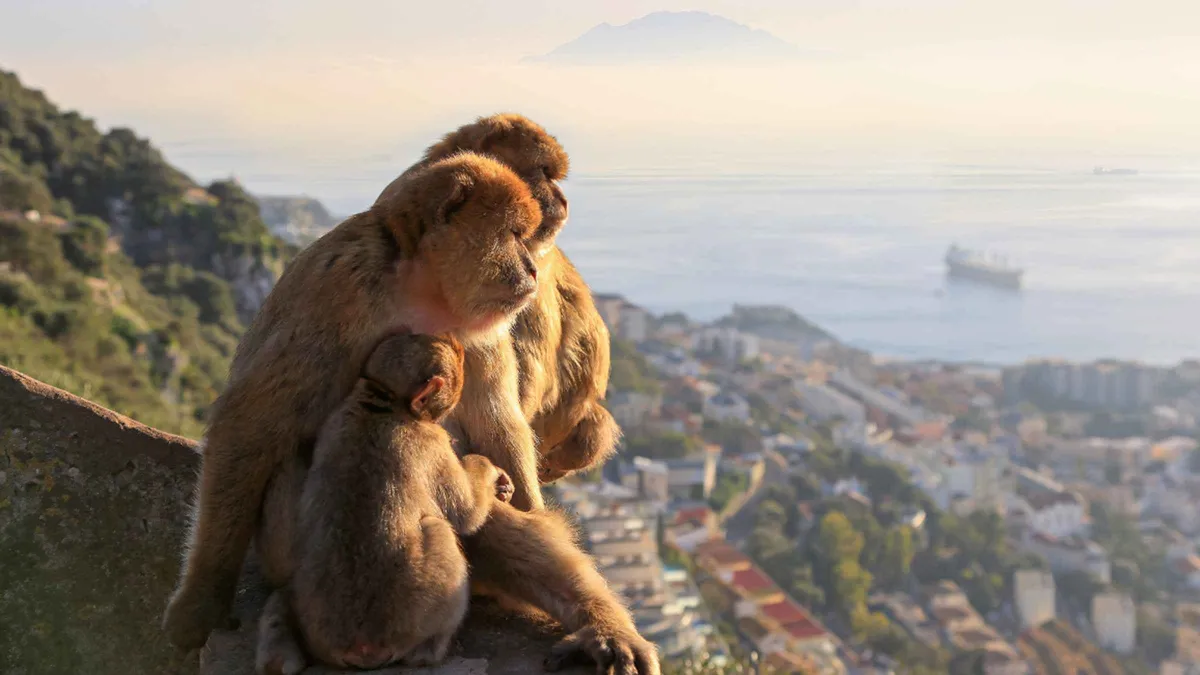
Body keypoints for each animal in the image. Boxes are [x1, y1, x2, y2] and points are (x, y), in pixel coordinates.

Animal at [255, 332, 514, 673]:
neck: (382, 400)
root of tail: (359, 645)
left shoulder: (335, 418)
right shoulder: (431, 441)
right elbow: (466, 512)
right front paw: (491, 473)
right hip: (416, 612)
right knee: (439, 528)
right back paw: (433, 647)